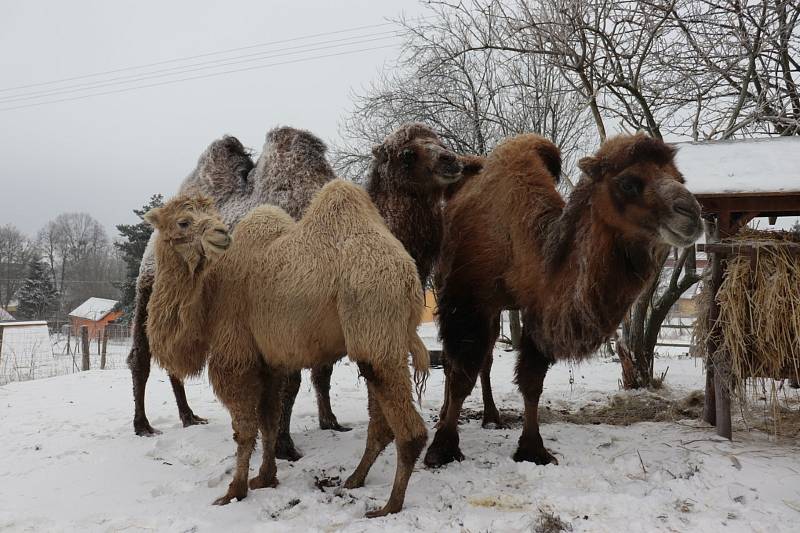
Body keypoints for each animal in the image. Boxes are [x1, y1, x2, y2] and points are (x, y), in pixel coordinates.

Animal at [144, 179, 432, 516]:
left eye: (211, 216)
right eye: (183, 221)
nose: (220, 234)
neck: (211, 292)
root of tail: (410, 278)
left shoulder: (235, 353)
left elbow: (244, 430)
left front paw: (234, 491)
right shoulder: (269, 362)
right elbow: (269, 421)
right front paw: (265, 478)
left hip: (374, 317)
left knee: (409, 430)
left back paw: (390, 505)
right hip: (382, 340)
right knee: (380, 416)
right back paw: (355, 479)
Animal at [424, 133, 700, 466]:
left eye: (680, 178)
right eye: (628, 183)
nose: (692, 214)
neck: (517, 242)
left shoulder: (538, 310)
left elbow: (532, 382)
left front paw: (533, 449)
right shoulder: (467, 302)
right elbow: (462, 374)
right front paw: (442, 448)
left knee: (485, 361)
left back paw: (492, 417)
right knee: (458, 362)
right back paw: (447, 415)